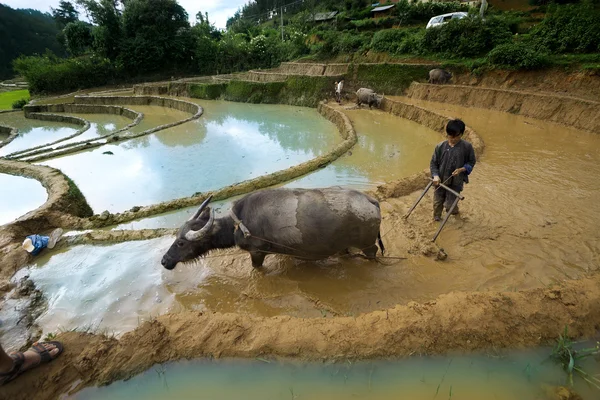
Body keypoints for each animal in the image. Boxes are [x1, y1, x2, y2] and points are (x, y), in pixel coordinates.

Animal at [161, 188, 384, 270]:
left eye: (181, 242)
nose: (164, 261)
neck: (239, 223)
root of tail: (370, 200)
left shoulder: (257, 253)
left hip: (368, 245)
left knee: (373, 252)